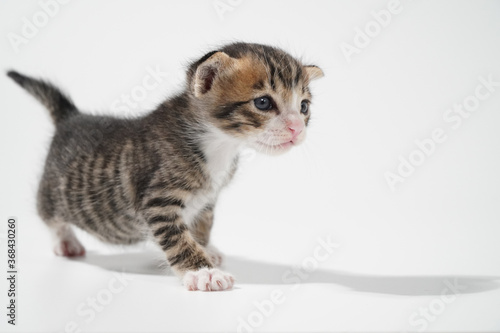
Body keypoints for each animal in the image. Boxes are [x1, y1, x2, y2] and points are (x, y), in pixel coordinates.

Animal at [7, 42, 324, 290]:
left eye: (304, 107)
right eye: (263, 103)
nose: (297, 129)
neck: (219, 144)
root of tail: (71, 117)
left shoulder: (208, 199)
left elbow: (201, 225)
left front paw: (206, 249)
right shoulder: (158, 201)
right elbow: (178, 239)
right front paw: (204, 272)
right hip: (53, 193)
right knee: (48, 215)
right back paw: (65, 242)